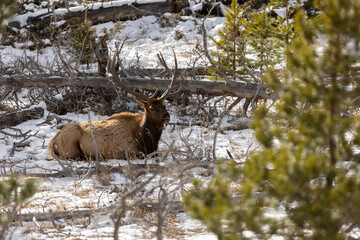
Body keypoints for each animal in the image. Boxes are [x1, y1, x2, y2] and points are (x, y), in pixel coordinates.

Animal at [48, 50, 180, 159]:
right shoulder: (123, 150)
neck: (145, 139)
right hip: (71, 145)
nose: (167, 116)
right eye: (151, 108)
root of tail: (52, 142)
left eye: (164, 106)